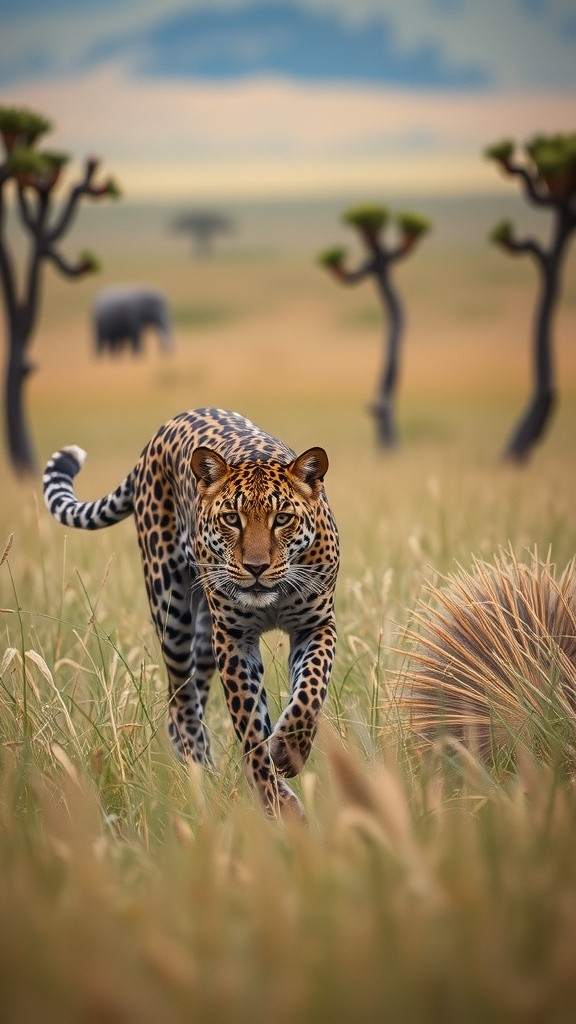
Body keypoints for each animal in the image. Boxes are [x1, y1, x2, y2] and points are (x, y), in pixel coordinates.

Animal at [43, 407, 339, 816]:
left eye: (282, 519)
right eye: (231, 518)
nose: (256, 568)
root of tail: (165, 428)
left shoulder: (316, 625)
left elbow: (311, 691)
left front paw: (290, 749)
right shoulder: (233, 638)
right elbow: (250, 726)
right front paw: (276, 802)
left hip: (203, 637)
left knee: (194, 698)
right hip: (172, 611)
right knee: (181, 701)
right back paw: (202, 775)